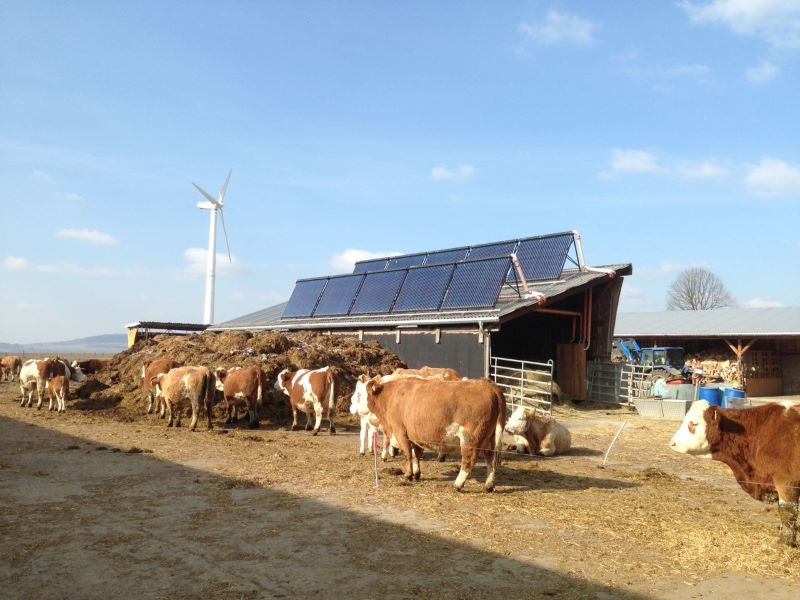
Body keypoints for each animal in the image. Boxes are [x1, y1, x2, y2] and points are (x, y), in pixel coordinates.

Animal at [364, 380, 506, 492]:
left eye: (366, 394)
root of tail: (489, 384)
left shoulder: (400, 431)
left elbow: (408, 454)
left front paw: (408, 475)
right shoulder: (415, 435)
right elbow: (416, 454)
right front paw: (416, 473)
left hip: (469, 439)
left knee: (468, 461)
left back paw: (458, 484)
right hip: (490, 439)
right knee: (491, 460)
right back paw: (489, 485)